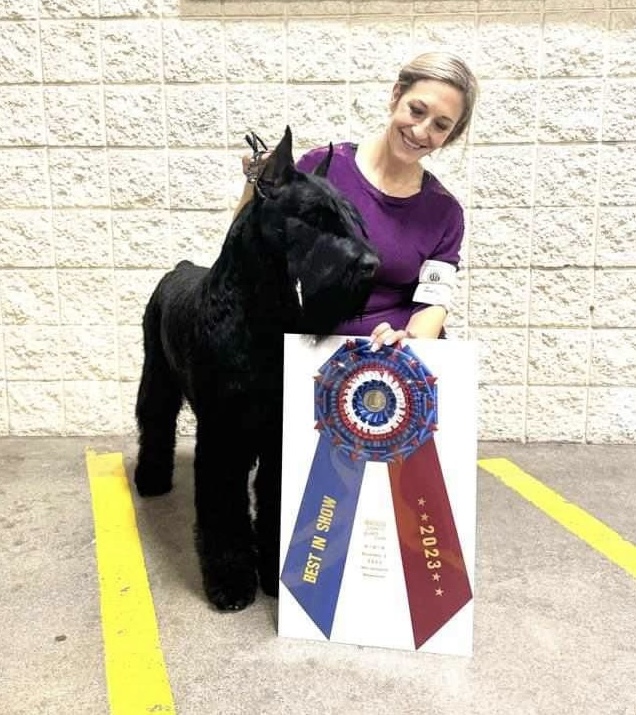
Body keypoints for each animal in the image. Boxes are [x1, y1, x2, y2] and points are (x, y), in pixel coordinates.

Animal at [133, 126, 380, 612]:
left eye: (350, 217)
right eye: (313, 217)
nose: (371, 265)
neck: (260, 313)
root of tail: (179, 268)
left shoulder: (275, 432)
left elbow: (272, 500)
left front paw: (272, 569)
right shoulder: (223, 435)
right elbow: (224, 509)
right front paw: (231, 580)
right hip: (157, 376)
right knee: (154, 422)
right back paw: (150, 478)